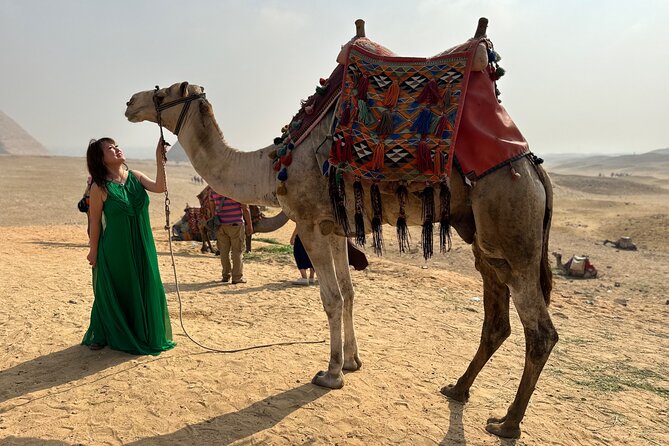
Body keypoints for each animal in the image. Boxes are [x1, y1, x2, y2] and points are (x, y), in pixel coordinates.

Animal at [124, 23, 556, 439]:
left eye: (162, 93)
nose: (130, 102)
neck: (273, 165)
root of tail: (535, 170)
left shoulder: (310, 223)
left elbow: (330, 298)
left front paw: (330, 373)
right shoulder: (334, 227)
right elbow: (349, 293)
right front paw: (352, 361)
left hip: (513, 228)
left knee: (540, 331)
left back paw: (508, 422)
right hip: (485, 241)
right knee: (497, 319)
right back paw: (458, 389)